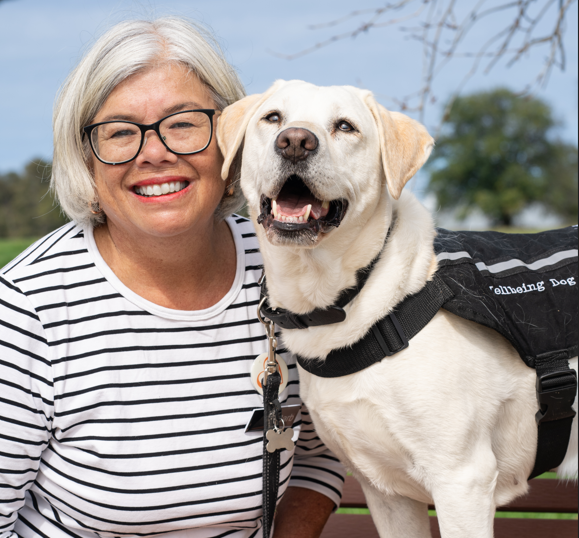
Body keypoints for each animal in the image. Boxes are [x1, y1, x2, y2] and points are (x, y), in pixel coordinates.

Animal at [216, 80, 576, 536]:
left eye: (345, 126)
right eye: (273, 118)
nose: (295, 141)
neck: (350, 297)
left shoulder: (463, 481)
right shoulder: (387, 492)